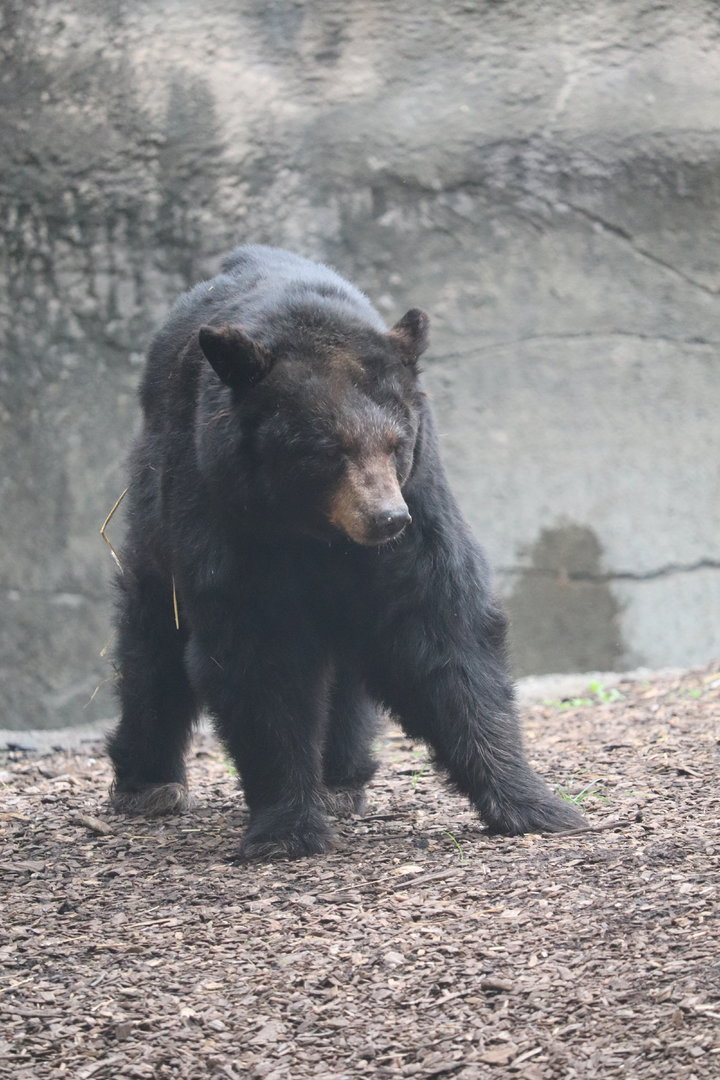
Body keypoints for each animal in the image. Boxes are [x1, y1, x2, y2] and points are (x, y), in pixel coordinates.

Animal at [107, 244, 585, 860]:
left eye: (396, 442)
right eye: (327, 449)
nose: (386, 519)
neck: (318, 532)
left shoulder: (420, 500)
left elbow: (440, 625)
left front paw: (535, 804)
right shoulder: (227, 514)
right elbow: (258, 652)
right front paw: (287, 828)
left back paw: (340, 779)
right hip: (154, 502)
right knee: (152, 638)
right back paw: (148, 782)